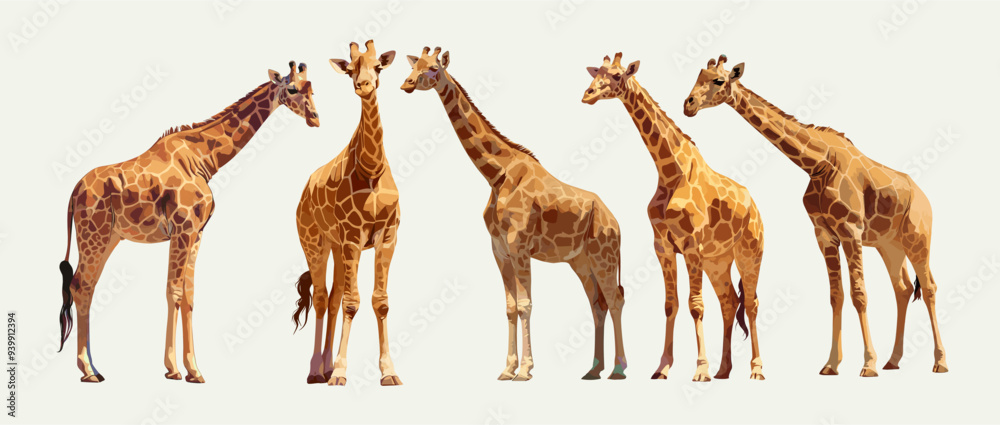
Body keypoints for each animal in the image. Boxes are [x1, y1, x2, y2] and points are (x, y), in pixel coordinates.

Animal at [57, 61, 320, 383]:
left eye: (313, 89)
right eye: (292, 88)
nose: (315, 118)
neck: (205, 159)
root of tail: (74, 192)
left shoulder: (197, 232)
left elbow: (190, 296)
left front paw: (194, 370)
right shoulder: (182, 228)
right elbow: (174, 291)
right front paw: (173, 368)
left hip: (109, 237)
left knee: (86, 286)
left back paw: (94, 368)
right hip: (93, 234)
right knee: (81, 286)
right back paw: (88, 370)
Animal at [291, 40, 402, 387]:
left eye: (378, 67)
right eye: (351, 69)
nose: (363, 85)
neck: (372, 169)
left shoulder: (387, 235)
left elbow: (380, 301)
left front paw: (389, 372)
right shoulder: (354, 235)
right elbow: (353, 303)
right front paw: (340, 371)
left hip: (338, 248)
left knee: (335, 296)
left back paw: (325, 368)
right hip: (315, 242)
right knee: (322, 297)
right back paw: (317, 370)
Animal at [401, 47, 627, 380]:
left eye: (432, 68)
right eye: (414, 65)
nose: (406, 83)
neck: (496, 175)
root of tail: (616, 222)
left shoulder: (519, 245)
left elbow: (525, 304)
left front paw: (525, 370)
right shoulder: (499, 250)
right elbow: (509, 307)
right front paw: (507, 369)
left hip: (604, 255)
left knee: (615, 299)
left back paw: (619, 369)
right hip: (581, 261)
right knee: (597, 303)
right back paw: (593, 370)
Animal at [582, 53, 765, 381]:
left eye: (616, 75)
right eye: (596, 72)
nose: (587, 95)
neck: (670, 172)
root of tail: (754, 206)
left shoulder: (691, 246)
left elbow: (696, 305)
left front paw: (700, 370)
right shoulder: (664, 246)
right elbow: (671, 304)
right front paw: (663, 367)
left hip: (749, 252)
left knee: (752, 302)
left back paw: (756, 369)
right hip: (718, 261)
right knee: (729, 302)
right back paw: (724, 370)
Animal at [683, 54, 948, 376]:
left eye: (718, 80)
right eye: (697, 76)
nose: (688, 104)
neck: (818, 163)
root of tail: (925, 198)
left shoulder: (851, 230)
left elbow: (859, 293)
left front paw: (867, 364)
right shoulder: (824, 234)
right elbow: (837, 295)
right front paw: (831, 364)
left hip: (918, 237)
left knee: (930, 287)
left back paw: (940, 362)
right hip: (890, 245)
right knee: (903, 288)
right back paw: (893, 361)